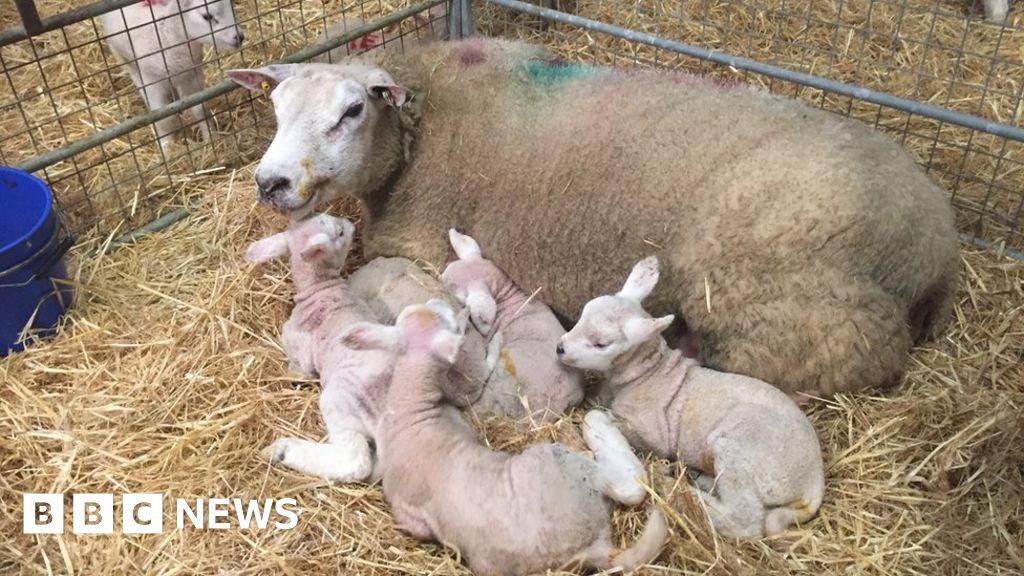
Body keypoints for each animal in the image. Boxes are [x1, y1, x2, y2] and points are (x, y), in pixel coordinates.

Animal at [100, 0, 244, 151]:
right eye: (207, 16)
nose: (239, 37)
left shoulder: (193, 75)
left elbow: (200, 109)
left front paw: (211, 138)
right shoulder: (151, 82)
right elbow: (163, 120)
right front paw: (168, 149)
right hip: (124, 59)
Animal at [225, 36, 959, 399]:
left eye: (353, 110)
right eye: (276, 107)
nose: (271, 182)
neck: (417, 134)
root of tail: (934, 243)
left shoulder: (420, 242)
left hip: (788, 303)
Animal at [245, 213, 390, 483]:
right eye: (340, 232)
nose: (352, 225)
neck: (319, 289)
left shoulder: (300, 349)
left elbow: (300, 369)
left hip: (339, 403)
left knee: (356, 462)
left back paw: (283, 450)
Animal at [340, 302, 668, 575]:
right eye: (450, 323)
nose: (456, 309)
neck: (410, 408)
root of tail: (595, 547)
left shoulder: (407, 513)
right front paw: (494, 340)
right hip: (559, 460)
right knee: (628, 486)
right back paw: (599, 427)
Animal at [558, 256, 825, 539]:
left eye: (601, 344)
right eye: (583, 313)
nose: (559, 348)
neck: (647, 373)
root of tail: (814, 483)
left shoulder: (652, 435)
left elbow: (595, 416)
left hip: (740, 451)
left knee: (744, 520)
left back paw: (679, 490)